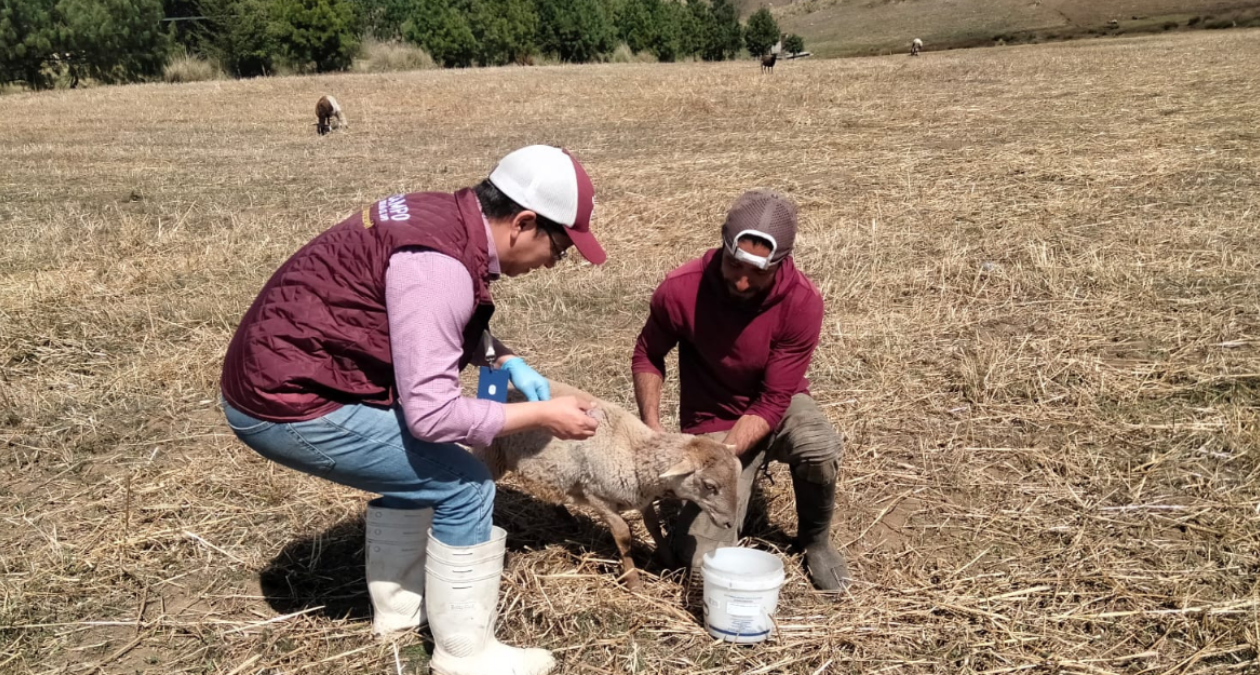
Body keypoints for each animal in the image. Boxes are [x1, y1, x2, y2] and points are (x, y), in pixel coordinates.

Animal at [476, 382, 740, 586]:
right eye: (710, 485)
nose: (729, 523)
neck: (635, 452)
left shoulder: (640, 497)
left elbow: (654, 526)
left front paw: (669, 561)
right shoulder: (598, 497)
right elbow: (623, 535)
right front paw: (633, 581)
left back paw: (565, 517)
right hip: (491, 454)